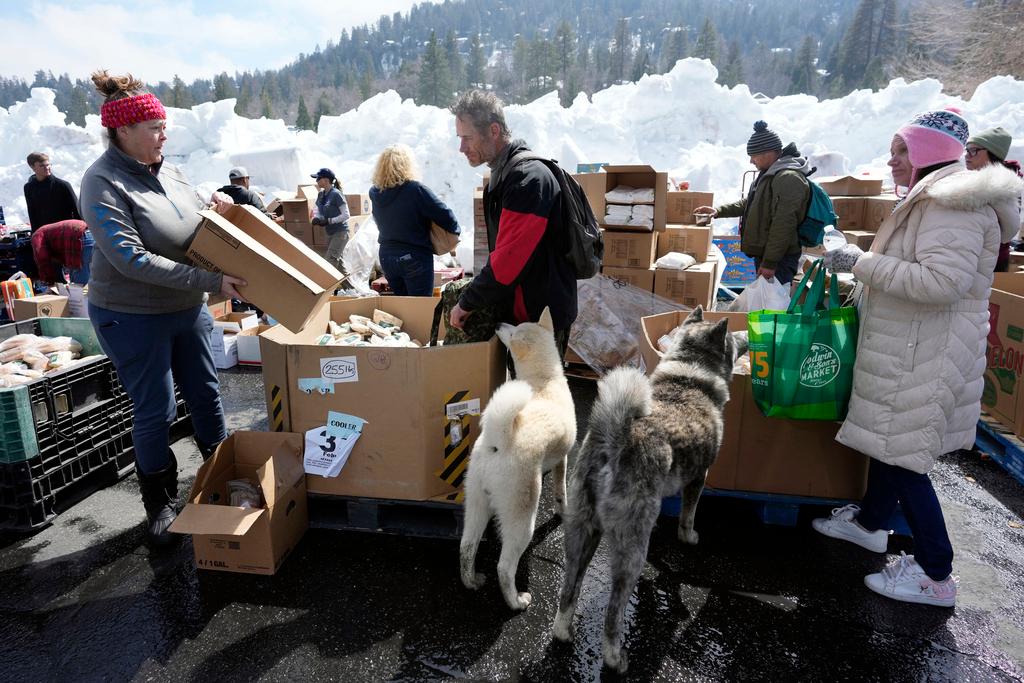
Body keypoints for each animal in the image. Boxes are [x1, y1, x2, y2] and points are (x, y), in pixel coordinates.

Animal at [458, 307, 577, 610]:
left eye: (513, 329)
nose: (499, 322)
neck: (544, 381)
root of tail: (498, 441)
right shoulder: (563, 459)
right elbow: (561, 490)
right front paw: (563, 510)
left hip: (477, 503)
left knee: (466, 547)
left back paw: (472, 581)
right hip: (522, 518)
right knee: (504, 567)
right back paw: (516, 601)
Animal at [552, 309, 745, 671]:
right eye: (730, 339)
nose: (746, 336)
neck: (690, 373)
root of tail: (614, 437)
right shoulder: (699, 477)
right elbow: (688, 514)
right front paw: (689, 536)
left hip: (581, 531)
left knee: (570, 588)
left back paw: (562, 631)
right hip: (630, 553)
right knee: (613, 611)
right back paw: (615, 657)